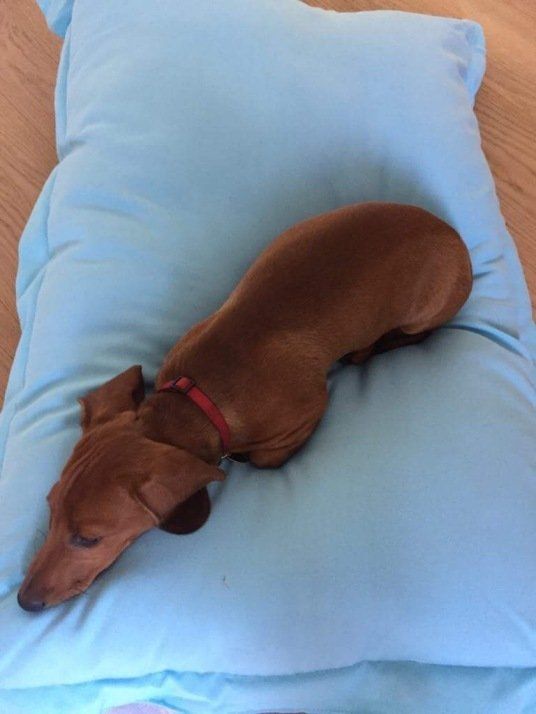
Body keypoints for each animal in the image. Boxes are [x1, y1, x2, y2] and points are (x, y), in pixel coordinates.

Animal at [17, 202, 472, 611]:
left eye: (89, 538)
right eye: (50, 509)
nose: (24, 601)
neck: (198, 400)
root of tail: (452, 235)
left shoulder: (302, 417)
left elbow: (264, 458)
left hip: (422, 314)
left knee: (411, 335)